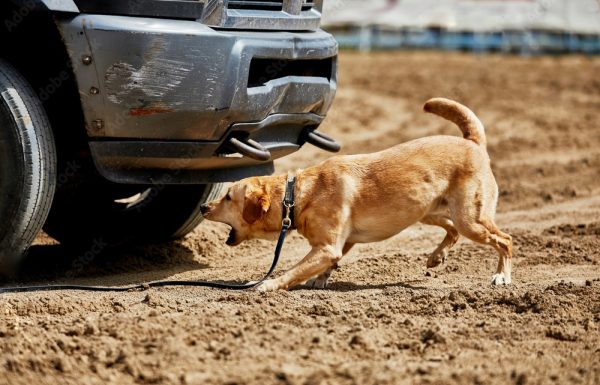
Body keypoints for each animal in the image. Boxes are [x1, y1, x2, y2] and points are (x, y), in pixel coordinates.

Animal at [200, 99, 510, 292]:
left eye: (228, 197)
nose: (203, 207)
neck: (296, 195)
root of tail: (473, 143)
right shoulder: (341, 242)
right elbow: (324, 266)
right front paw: (320, 279)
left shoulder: (328, 247)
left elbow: (293, 270)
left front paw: (268, 284)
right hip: (427, 211)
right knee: (451, 230)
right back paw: (436, 257)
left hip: (471, 219)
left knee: (504, 240)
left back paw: (502, 276)